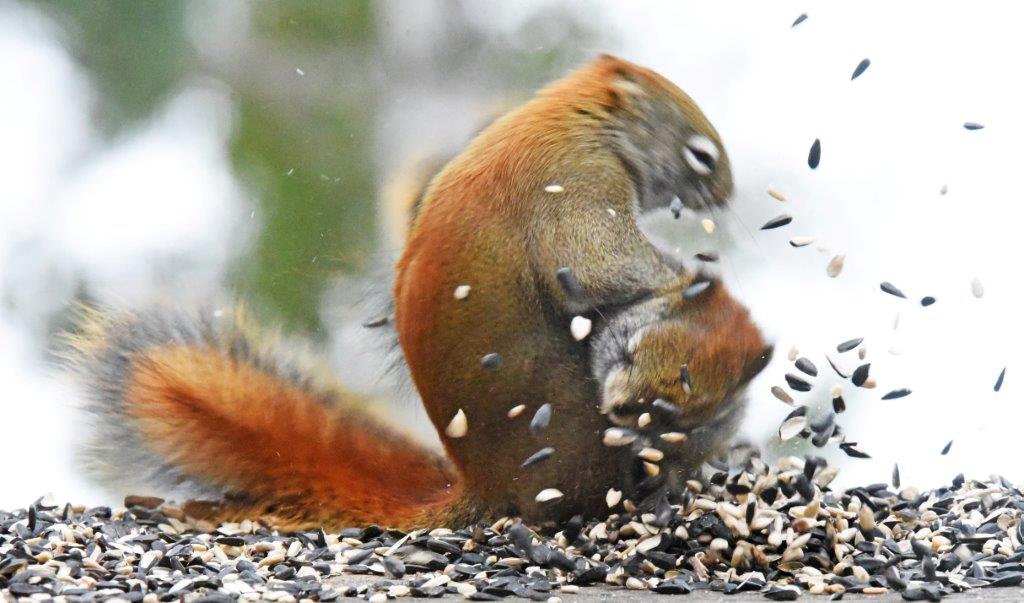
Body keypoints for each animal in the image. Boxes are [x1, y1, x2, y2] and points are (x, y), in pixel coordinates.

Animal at [65, 55, 770, 531]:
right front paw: (694, 278)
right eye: (701, 155)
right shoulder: (575, 187)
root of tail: (487, 490)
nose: (726, 197)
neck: (577, 121)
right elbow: (600, 265)